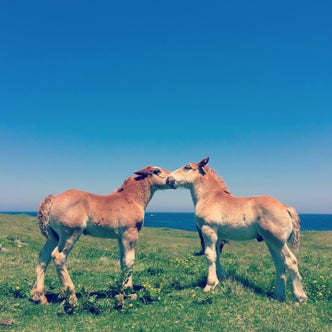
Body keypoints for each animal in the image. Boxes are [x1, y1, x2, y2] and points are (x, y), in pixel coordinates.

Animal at [30, 165, 171, 304]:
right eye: (157, 171)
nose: (172, 179)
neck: (130, 199)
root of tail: (53, 199)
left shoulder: (121, 237)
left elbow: (123, 260)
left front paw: (121, 289)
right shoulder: (130, 233)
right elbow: (130, 261)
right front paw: (128, 292)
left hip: (54, 237)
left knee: (43, 257)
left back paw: (39, 296)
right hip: (70, 234)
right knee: (58, 256)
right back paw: (72, 297)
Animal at [167, 158, 308, 304]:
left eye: (187, 167)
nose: (168, 179)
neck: (209, 197)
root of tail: (286, 208)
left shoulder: (208, 230)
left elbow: (209, 255)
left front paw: (210, 285)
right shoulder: (218, 235)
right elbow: (217, 255)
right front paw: (221, 279)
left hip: (277, 241)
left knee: (290, 261)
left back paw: (300, 298)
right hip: (271, 242)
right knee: (280, 263)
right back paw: (278, 296)